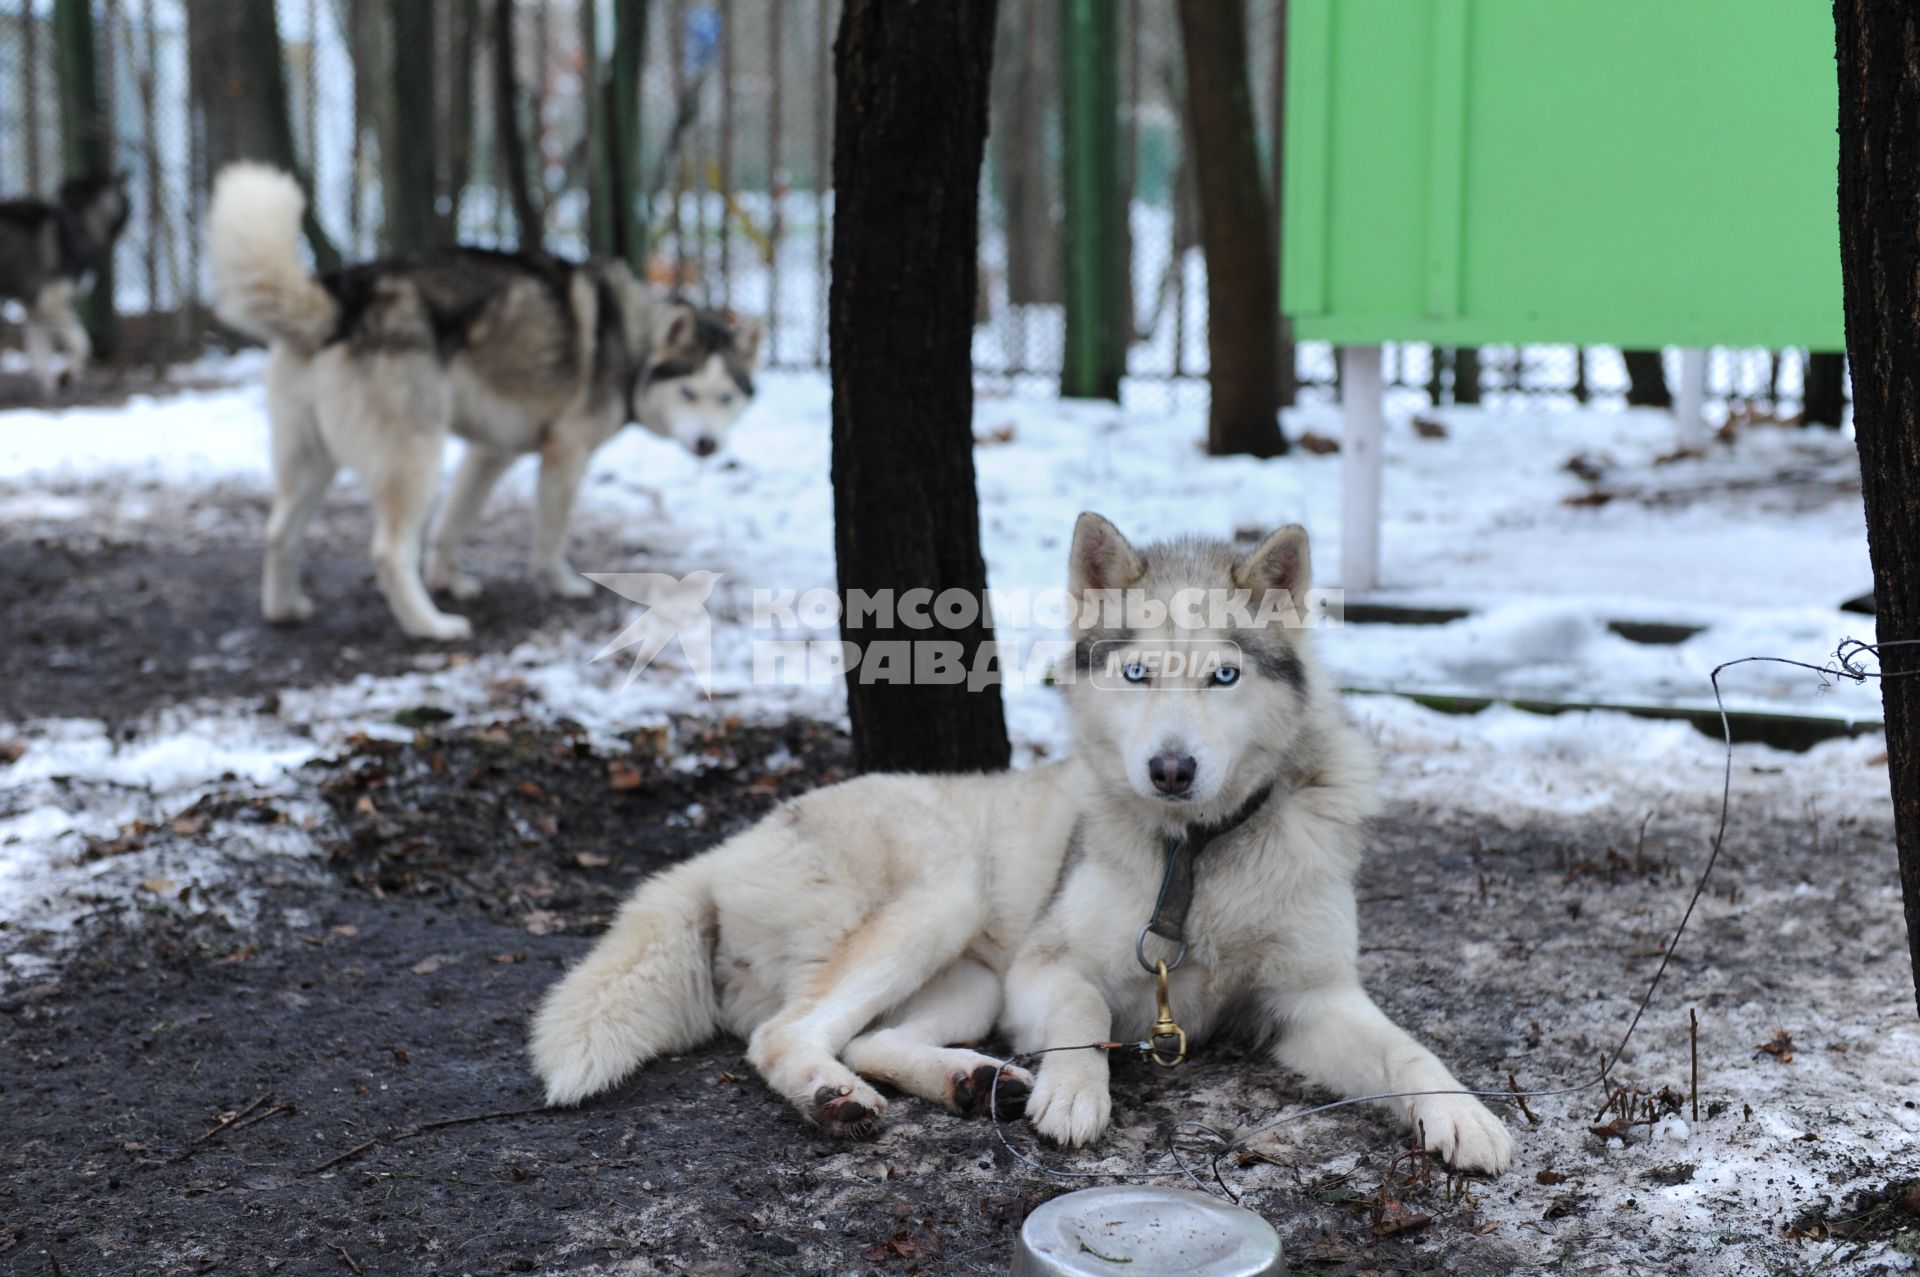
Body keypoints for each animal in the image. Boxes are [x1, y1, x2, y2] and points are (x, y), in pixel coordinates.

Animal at [204, 162, 756, 637]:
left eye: (727, 398)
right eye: (688, 392)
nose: (708, 444)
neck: (631, 340)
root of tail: (345, 297)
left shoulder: (491, 452)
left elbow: (455, 523)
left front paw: (451, 579)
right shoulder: (566, 456)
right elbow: (549, 538)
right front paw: (562, 586)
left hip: (314, 464)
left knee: (279, 531)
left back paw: (285, 610)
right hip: (415, 461)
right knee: (388, 552)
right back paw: (430, 626)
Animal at [529, 514, 1512, 1167]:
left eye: (1225, 675)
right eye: (1136, 672)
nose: (1170, 769)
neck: (1193, 858)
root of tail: (723, 852)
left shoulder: (1311, 1000)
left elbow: (1408, 1049)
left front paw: (1460, 1114)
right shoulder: (1044, 968)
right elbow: (1082, 1015)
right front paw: (1074, 1092)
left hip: (967, 979)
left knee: (867, 1037)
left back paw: (974, 1080)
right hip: (944, 902)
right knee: (784, 1034)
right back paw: (841, 1099)